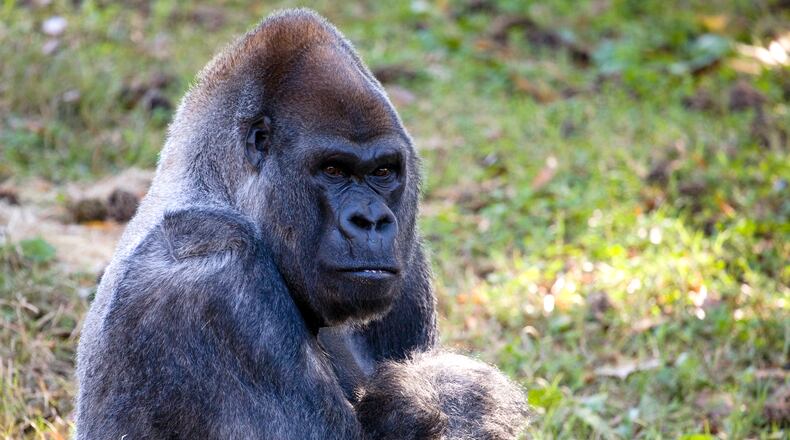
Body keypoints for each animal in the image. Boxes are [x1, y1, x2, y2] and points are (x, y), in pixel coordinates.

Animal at [75, 8, 528, 439]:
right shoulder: (210, 267)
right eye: (333, 170)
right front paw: (452, 394)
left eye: (383, 172)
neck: (215, 186)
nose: (371, 220)